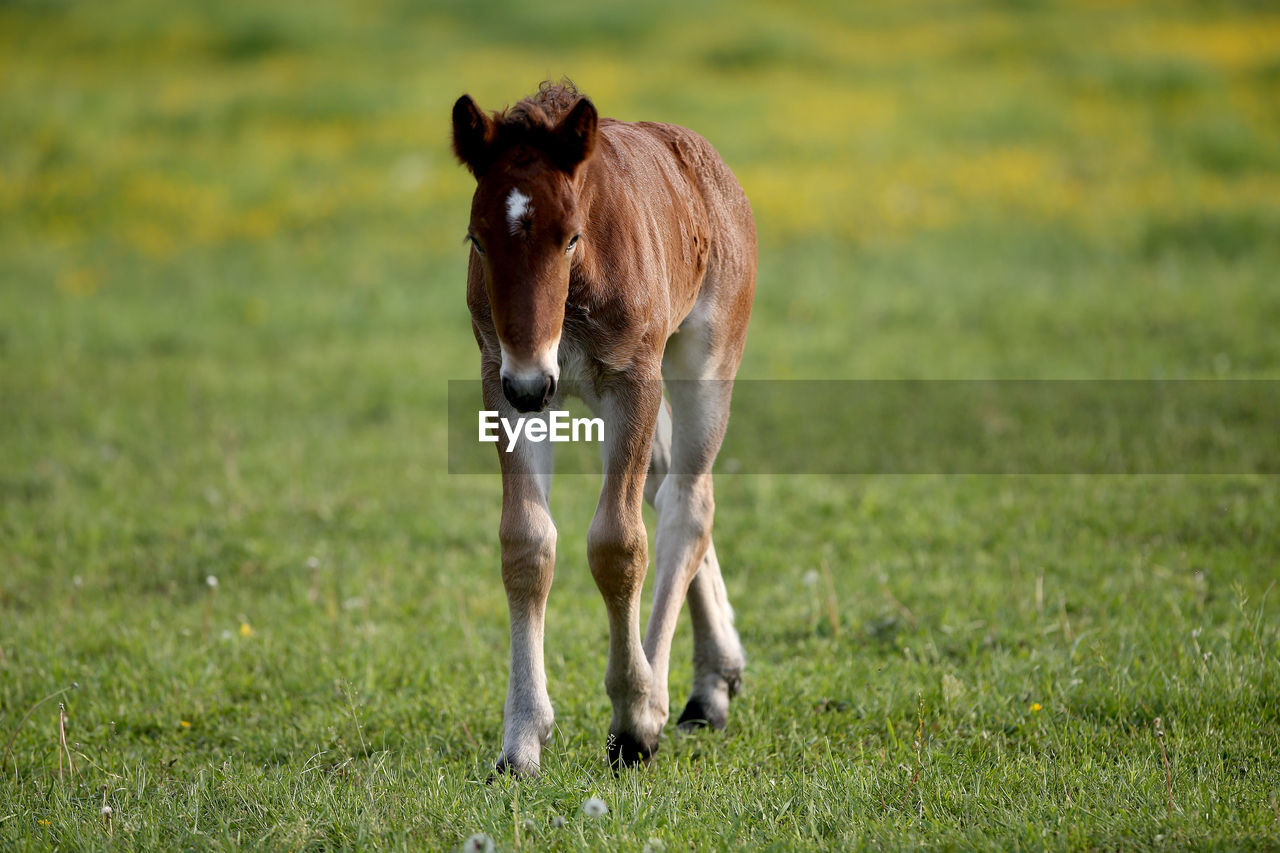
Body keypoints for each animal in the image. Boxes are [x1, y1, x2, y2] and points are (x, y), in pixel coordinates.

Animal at [450, 83, 752, 773]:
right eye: (476, 239)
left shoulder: (632, 381)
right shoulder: (502, 379)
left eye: (570, 238)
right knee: (668, 488)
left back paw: (678, 697)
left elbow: (619, 544)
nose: (533, 384)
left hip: (704, 360)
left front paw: (634, 721)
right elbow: (526, 542)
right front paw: (521, 742)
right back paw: (715, 680)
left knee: (688, 504)